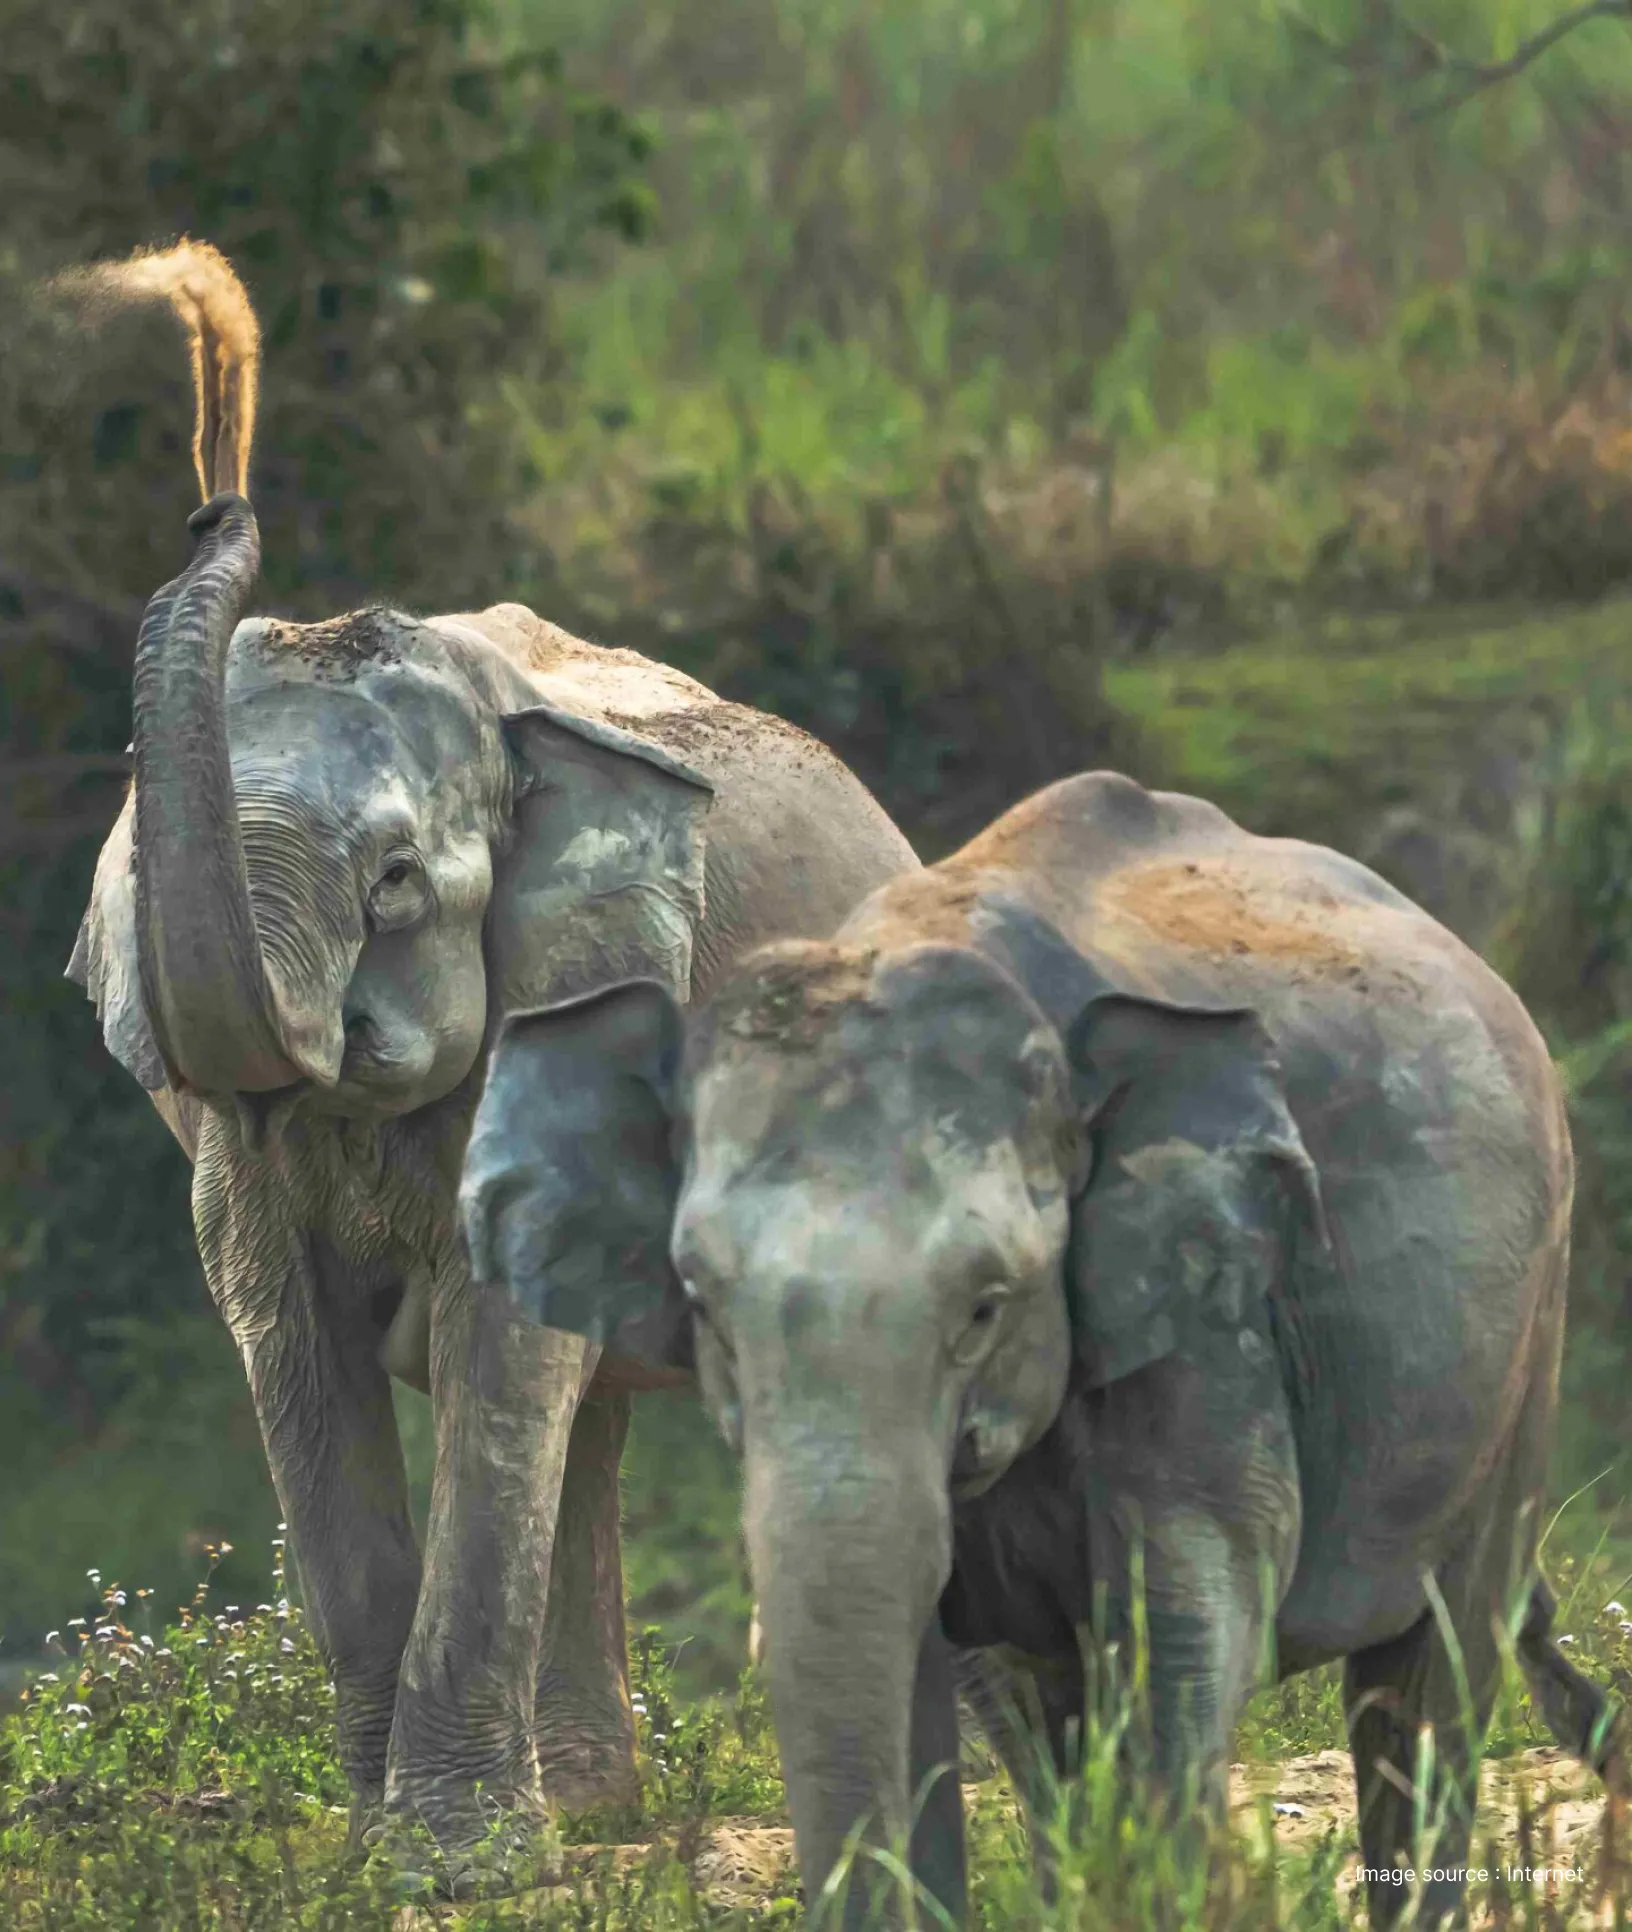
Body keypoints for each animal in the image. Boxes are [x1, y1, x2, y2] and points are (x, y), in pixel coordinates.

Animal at [64, 242, 916, 1884]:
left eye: (398, 881)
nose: (216, 490)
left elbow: (492, 1340)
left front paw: (453, 1869)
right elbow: (290, 1342)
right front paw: (380, 1854)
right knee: (589, 1424)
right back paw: (594, 1808)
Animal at [462, 767, 1625, 1928]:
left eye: (986, 1308)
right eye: (704, 1304)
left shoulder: (1209, 1316)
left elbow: (1188, 1612)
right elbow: (963, 1672)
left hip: (1529, 1340)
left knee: (1432, 1678)